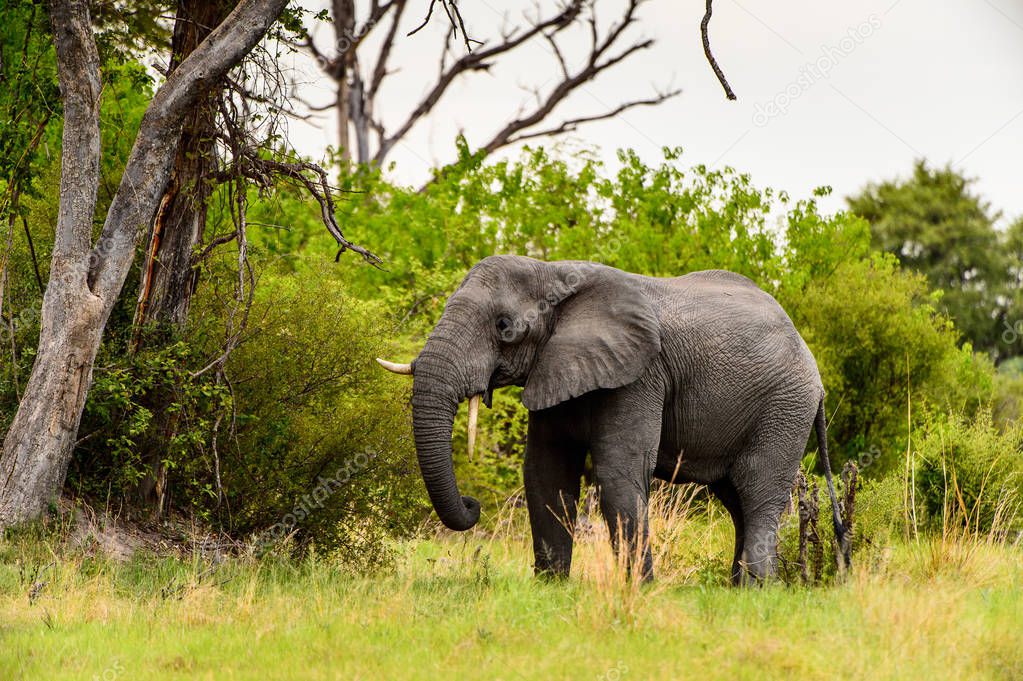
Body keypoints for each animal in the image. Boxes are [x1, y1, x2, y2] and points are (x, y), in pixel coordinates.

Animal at [376, 251, 847, 580]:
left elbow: (617, 473)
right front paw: (551, 589)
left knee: (758, 493)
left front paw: (641, 591)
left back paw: (755, 591)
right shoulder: (557, 364)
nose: (472, 505)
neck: (552, 272)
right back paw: (735, 589)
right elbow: (546, 472)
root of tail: (813, 365)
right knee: (736, 501)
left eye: (504, 327)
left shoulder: (640, 373)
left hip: (785, 407)